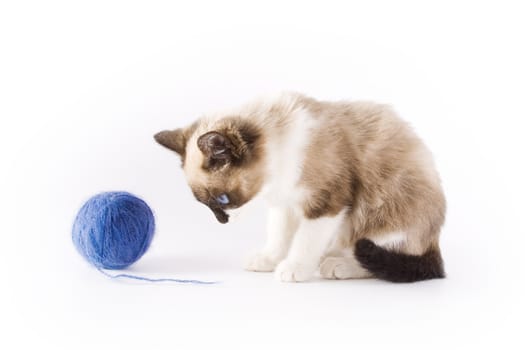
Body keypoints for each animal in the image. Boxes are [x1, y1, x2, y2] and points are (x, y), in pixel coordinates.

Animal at [154, 91, 444, 284]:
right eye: (206, 204)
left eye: (223, 200)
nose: (222, 221)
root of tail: (434, 238)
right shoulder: (284, 203)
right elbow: (279, 236)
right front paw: (268, 260)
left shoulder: (326, 203)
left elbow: (305, 239)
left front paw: (294, 267)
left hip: (379, 212)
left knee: (385, 253)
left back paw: (337, 264)